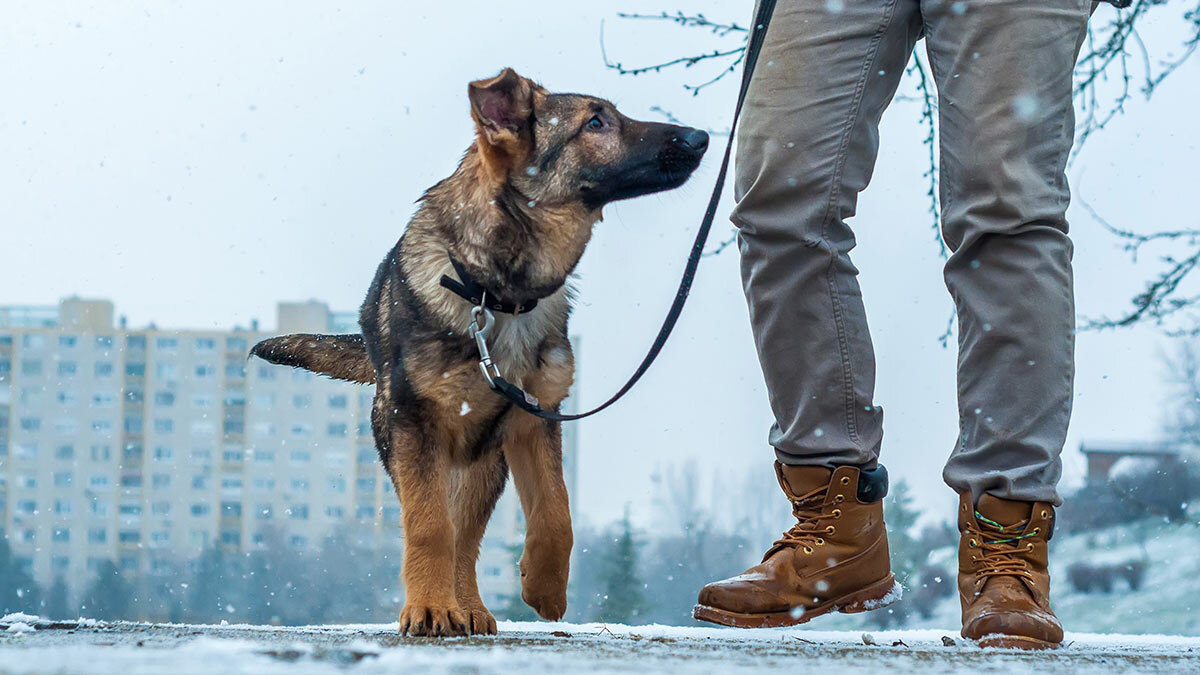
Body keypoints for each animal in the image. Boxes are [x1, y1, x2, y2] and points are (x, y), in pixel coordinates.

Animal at [248, 65, 705, 634]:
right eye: (595, 123)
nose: (702, 138)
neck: (495, 292)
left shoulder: (535, 416)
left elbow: (556, 512)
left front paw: (544, 586)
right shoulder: (415, 424)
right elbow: (428, 525)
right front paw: (428, 606)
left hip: (486, 462)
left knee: (467, 536)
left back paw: (467, 606)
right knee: (444, 525)